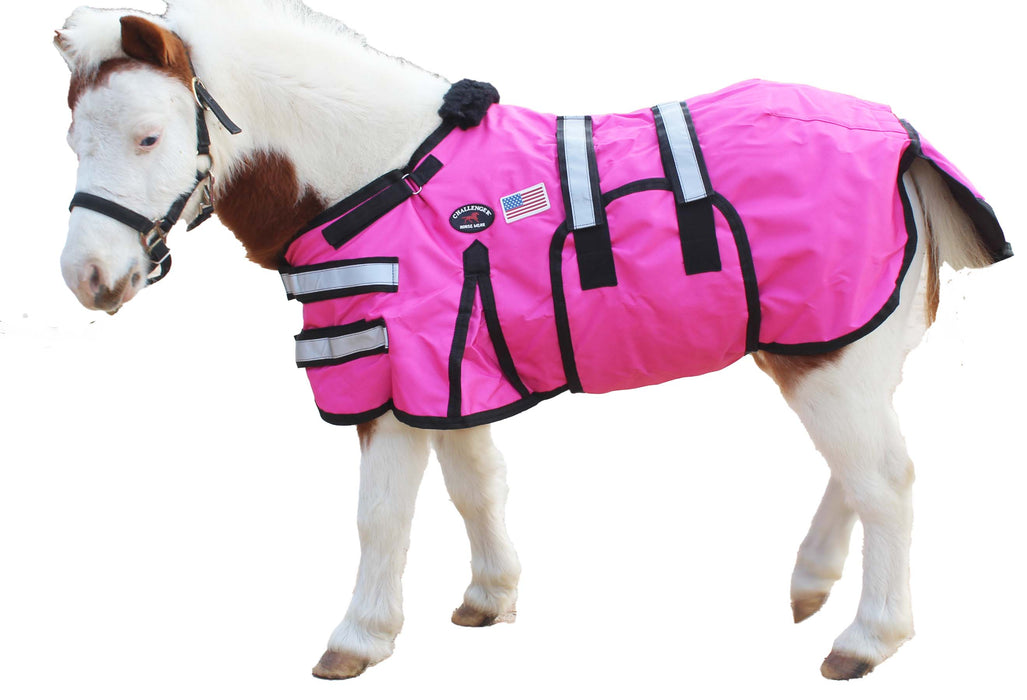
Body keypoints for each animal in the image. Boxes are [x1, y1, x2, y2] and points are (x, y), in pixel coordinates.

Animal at [53, 0, 1012, 682]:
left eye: (148, 135)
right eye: (71, 136)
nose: (86, 277)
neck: (380, 179)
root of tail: (903, 139)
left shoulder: (393, 376)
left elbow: (381, 515)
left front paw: (360, 636)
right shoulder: (454, 376)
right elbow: (476, 487)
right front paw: (490, 597)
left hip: (831, 356)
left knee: (885, 484)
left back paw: (868, 637)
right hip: (830, 353)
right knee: (858, 473)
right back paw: (811, 583)